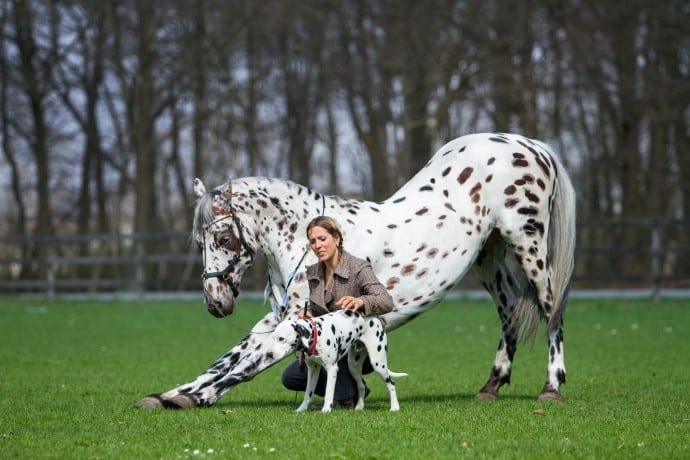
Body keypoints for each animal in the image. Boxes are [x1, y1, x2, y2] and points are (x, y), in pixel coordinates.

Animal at [272, 310, 406, 414]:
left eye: (281, 338)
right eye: (274, 337)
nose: (270, 354)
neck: (317, 334)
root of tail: (375, 316)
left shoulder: (332, 369)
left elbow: (329, 392)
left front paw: (326, 410)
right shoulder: (313, 370)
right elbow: (308, 393)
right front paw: (301, 409)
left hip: (378, 363)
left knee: (391, 384)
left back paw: (395, 407)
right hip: (353, 366)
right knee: (361, 386)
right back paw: (359, 406)